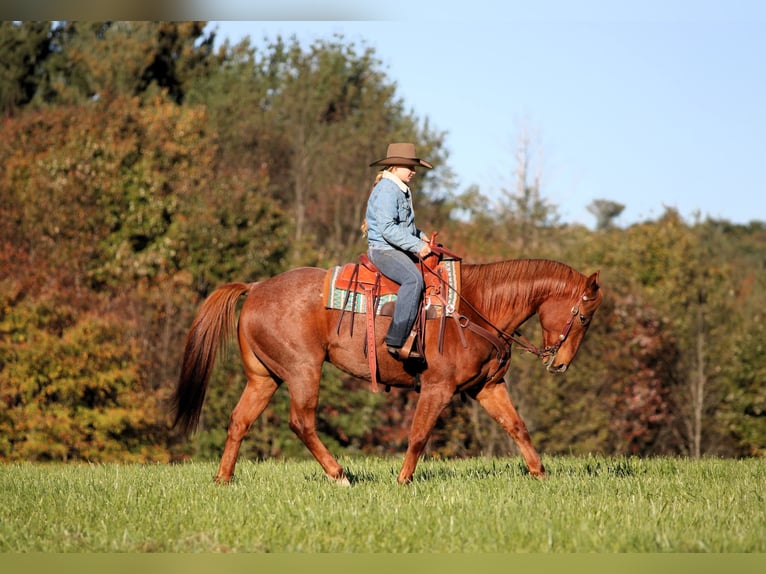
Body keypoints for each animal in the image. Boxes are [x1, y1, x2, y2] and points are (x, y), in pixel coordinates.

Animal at [170, 257, 602, 485]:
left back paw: (223, 479)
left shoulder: (488, 387)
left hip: (264, 378)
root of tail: (256, 286)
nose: (560, 363)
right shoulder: (438, 388)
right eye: (583, 316)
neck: (476, 307)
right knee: (301, 422)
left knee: (239, 421)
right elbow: (418, 435)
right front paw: (403, 481)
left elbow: (517, 427)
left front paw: (540, 474)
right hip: (303, 370)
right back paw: (339, 475)